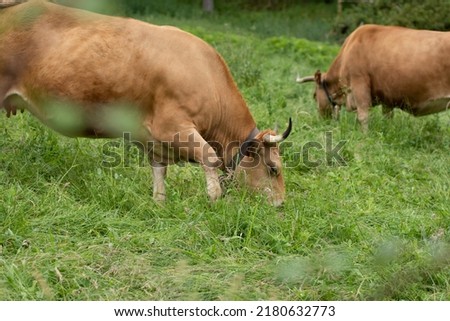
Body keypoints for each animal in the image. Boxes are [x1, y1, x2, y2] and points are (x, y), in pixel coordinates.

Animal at [0, 0, 292, 205]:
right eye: (273, 168)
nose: (280, 204)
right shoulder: (174, 127)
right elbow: (209, 157)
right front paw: (214, 200)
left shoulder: (156, 142)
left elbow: (159, 176)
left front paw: (159, 205)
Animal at [298, 23, 450, 131]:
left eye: (314, 95)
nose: (321, 121)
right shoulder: (387, 97)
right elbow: (387, 118)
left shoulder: (359, 83)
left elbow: (363, 115)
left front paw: (365, 136)